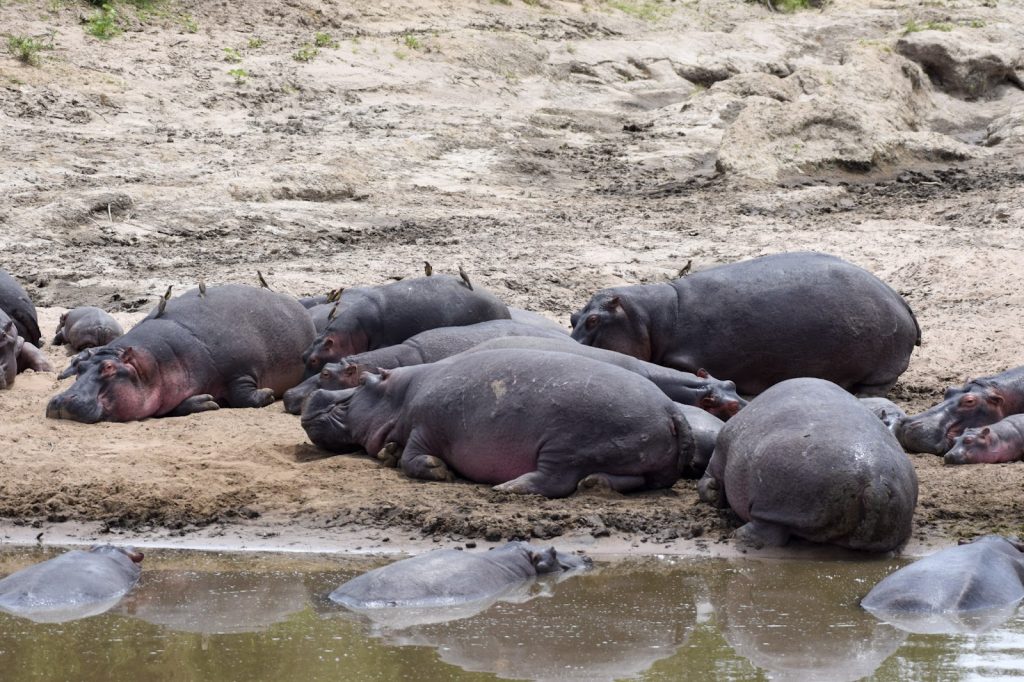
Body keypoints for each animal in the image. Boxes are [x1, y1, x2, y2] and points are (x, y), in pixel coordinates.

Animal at [47, 284, 315, 422]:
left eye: (109, 368)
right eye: (79, 367)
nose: (61, 400)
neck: (151, 364)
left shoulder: (240, 370)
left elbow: (243, 395)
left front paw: (267, 394)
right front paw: (207, 401)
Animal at [301, 349, 697, 497]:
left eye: (362, 383)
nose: (314, 394)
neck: (399, 394)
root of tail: (671, 410)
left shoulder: (425, 427)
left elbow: (413, 457)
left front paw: (436, 470)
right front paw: (389, 452)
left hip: (564, 446)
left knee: (551, 481)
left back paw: (507, 487)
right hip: (633, 459)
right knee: (633, 480)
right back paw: (594, 484)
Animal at [698, 378, 918, 551]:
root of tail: (876, 484)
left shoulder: (720, 454)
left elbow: (708, 479)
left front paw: (711, 492)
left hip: (777, 502)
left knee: (769, 532)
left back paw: (739, 535)